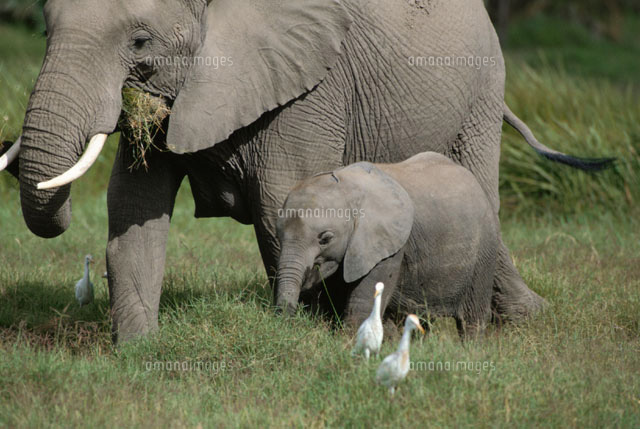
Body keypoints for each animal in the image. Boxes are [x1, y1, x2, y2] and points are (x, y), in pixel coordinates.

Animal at [275, 152, 498, 339]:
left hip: (484, 250)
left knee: (472, 319)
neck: (347, 186)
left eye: (325, 239)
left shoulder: (388, 244)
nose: (287, 319)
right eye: (279, 234)